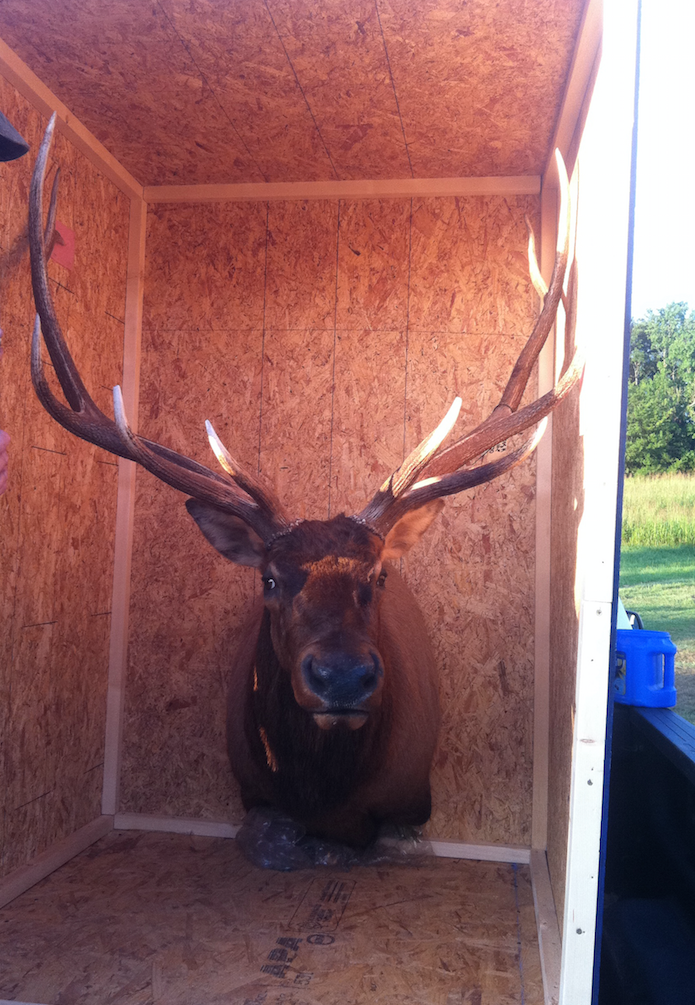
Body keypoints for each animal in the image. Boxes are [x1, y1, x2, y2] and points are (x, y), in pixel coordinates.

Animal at [28, 115, 581, 848]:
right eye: (267, 579)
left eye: (379, 576)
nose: (342, 676)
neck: (324, 797)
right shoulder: (249, 791)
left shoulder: (413, 798)